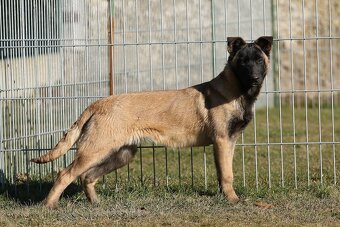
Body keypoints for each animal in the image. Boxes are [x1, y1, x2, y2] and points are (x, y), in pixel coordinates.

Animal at [32, 35, 274, 207]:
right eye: (243, 62)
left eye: (258, 60)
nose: (254, 78)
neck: (236, 90)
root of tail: (98, 104)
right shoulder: (222, 141)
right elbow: (227, 174)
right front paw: (232, 200)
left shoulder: (229, 142)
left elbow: (225, 173)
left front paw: (226, 197)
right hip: (95, 150)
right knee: (66, 174)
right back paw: (48, 205)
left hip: (121, 154)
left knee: (87, 177)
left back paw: (95, 203)